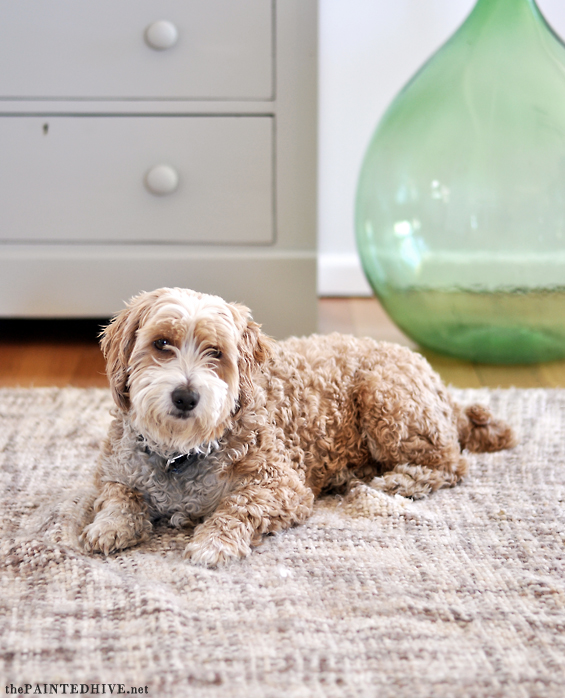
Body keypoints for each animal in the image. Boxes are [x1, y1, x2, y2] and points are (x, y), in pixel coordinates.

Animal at [80, 286, 516, 564]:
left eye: (216, 352)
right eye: (161, 344)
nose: (185, 396)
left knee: (451, 462)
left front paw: (214, 542)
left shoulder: (280, 486)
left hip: (387, 402)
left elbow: (238, 505)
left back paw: (401, 481)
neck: (181, 454)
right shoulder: (115, 472)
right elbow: (119, 498)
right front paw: (110, 526)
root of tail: (438, 381)